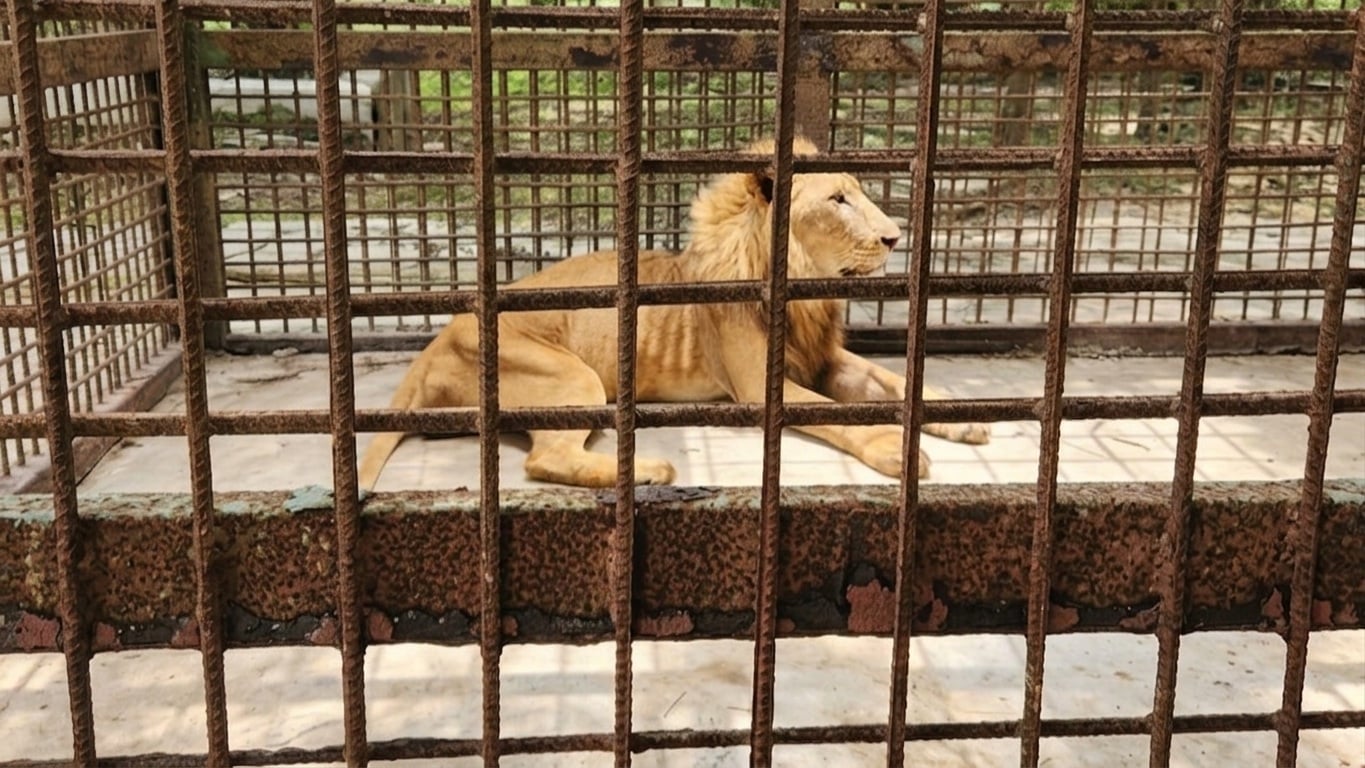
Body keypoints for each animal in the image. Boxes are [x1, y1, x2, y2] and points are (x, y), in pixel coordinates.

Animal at [358, 137, 989, 489]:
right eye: (838, 200)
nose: (894, 237)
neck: (807, 290)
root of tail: (434, 345)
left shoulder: (825, 359)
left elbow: (893, 382)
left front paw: (961, 417)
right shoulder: (760, 388)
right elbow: (836, 415)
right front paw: (895, 450)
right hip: (574, 377)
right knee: (543, 462)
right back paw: (650, 472)